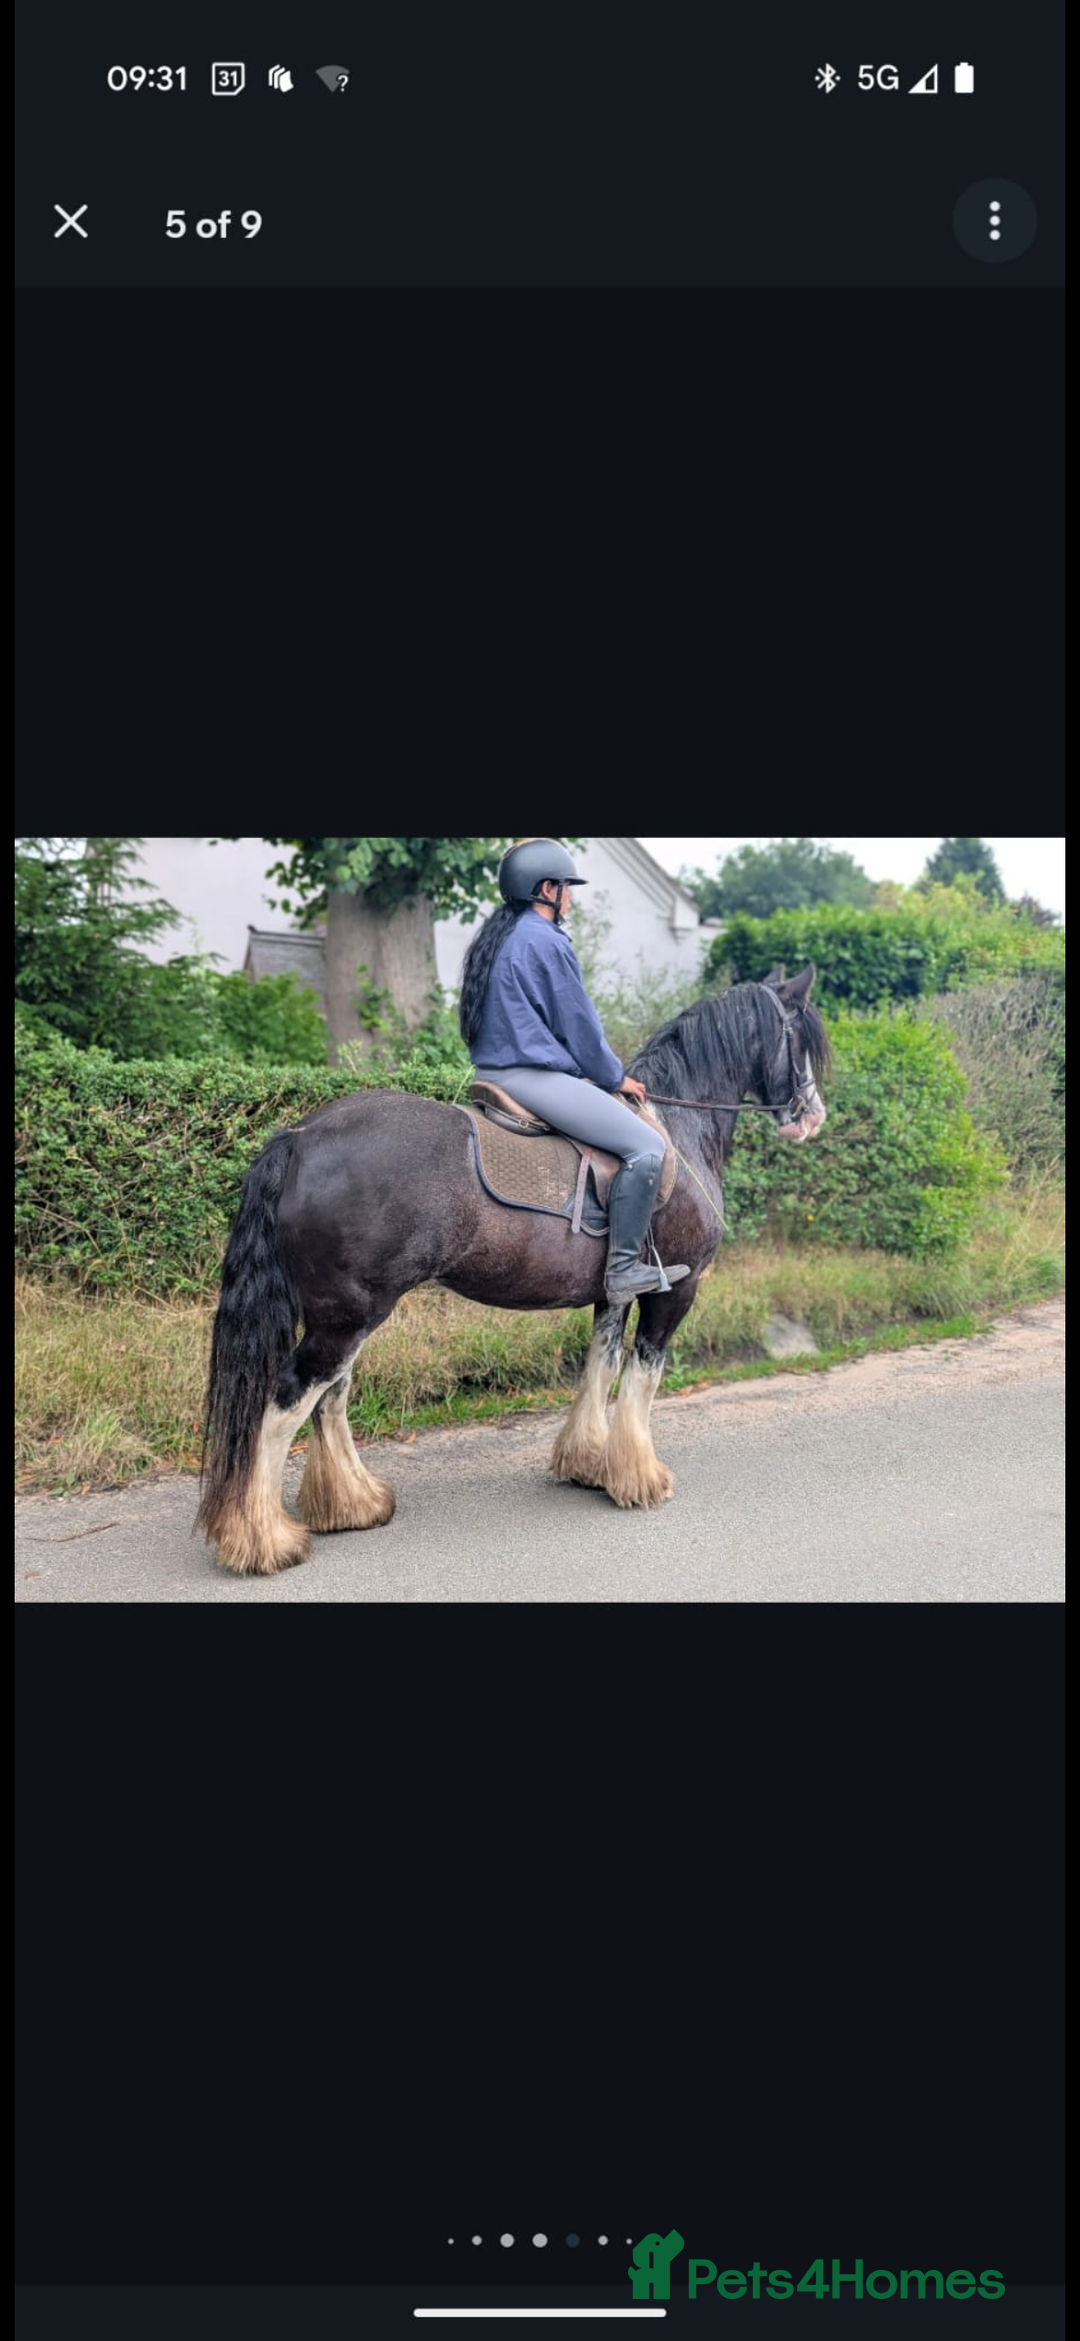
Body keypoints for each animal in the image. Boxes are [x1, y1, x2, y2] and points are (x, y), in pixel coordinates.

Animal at [196, 965, 829, 1575]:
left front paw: (586, 1462)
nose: (812, 1117)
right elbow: (641, 1378)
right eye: (799, 1036)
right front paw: (639, 1478)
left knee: (331, 1396)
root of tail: (301, 1137)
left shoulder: (615, 1293)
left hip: (345, 1316)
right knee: (287, 1403)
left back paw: (353, 1504)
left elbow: (600, 1366)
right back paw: (264, 1540)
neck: (675, 1126)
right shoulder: (677, 1290)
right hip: (348, 1316)